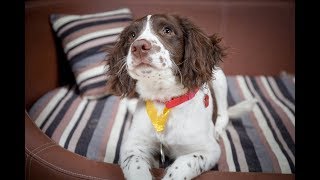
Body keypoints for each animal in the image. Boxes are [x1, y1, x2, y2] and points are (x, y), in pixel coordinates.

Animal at [106, 14, 256, 180]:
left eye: (167, 30)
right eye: (132, 35)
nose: (138, 46)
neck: (164, 101)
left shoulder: (209, 150)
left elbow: (183, 165)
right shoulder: (133, 146)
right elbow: (136, 168)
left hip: (220, 79)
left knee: (224, 114)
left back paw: (217, 129)